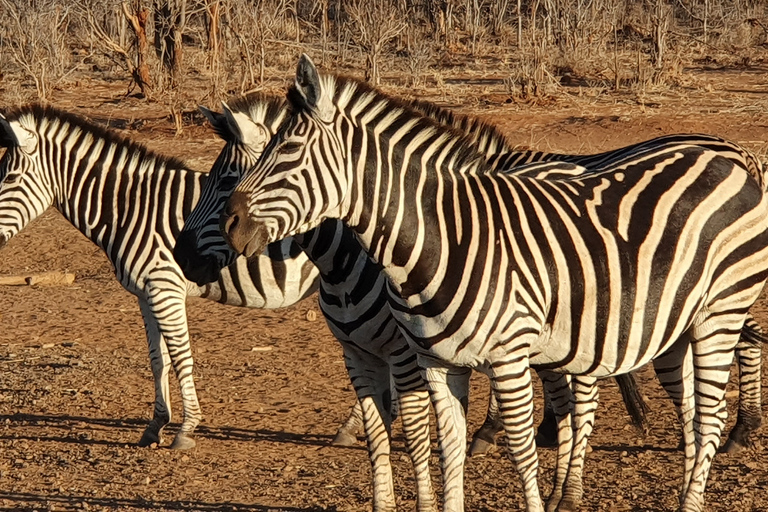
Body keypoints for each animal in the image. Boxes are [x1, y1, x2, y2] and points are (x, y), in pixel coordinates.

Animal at [0, 106, 328, 450]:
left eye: (9, 178)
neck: (131, 210)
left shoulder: (165, 288)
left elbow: (182, 357)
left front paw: (186, 428)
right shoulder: (146, 294)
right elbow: (159, 359)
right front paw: (156, 424)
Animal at [219, 54, 768, 510]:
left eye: (289, 151)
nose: (230, 224)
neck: (436, 240)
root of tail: (732, 157)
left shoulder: (506, 356)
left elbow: (521, 452)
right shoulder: (437, 363)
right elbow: (447, 450)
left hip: (720, 312)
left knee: (710, 415)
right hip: (672, 324)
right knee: (693, 413)